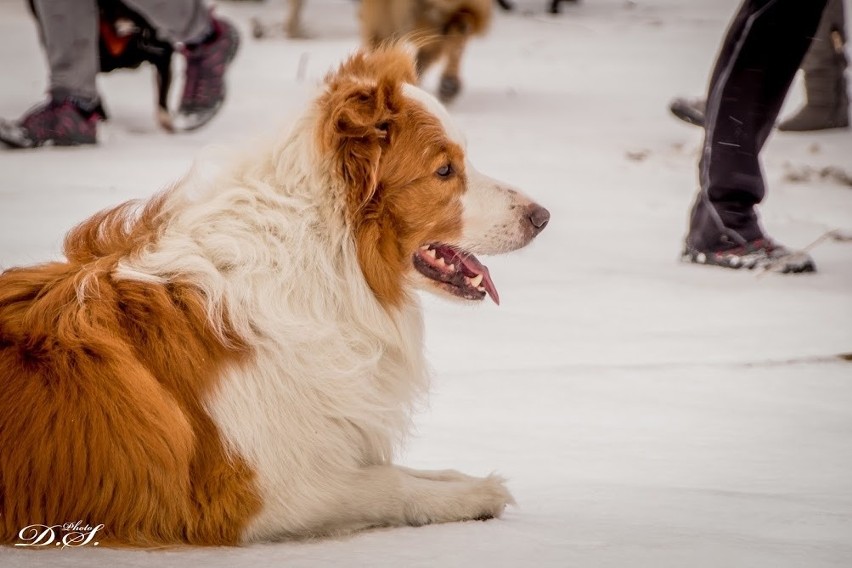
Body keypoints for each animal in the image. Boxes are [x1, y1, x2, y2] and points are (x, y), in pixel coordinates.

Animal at [0, 47, 548, 544]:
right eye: (444, 171)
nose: (541, 216)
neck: (325, 255)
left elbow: (405, 470)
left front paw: (460, 480)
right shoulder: (260, 494)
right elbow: (390, 484)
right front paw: (477, 493)